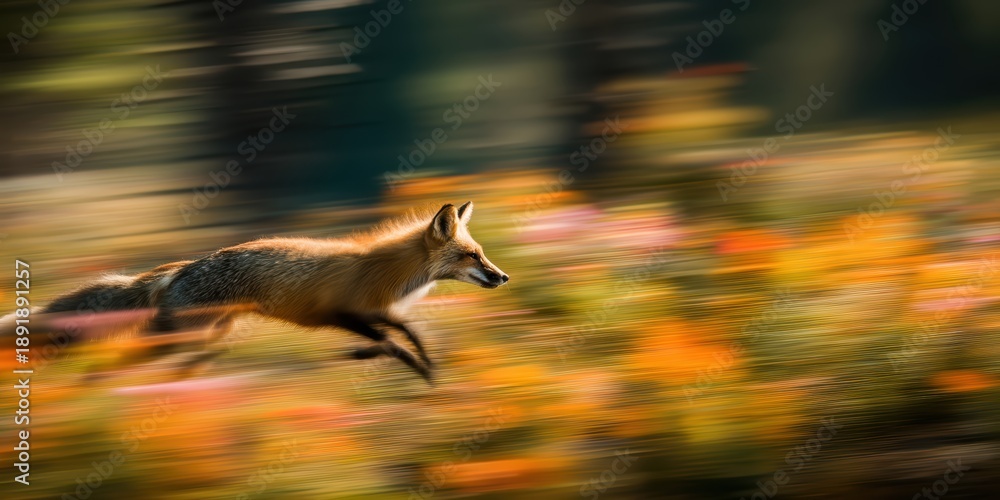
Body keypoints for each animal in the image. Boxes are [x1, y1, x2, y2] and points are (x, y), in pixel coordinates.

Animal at [9, 202, 508, 383]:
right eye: (472, 256)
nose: (503, 278)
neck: (387, 270)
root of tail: (183, 267)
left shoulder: (376, 312)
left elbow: (410, 334)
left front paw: (427, 367)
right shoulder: (341, 313)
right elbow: (391, 342)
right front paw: (382, 359)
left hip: (209, 334)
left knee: (184, 362)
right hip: (177, 337)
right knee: (113, 362)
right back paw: (95, 390)